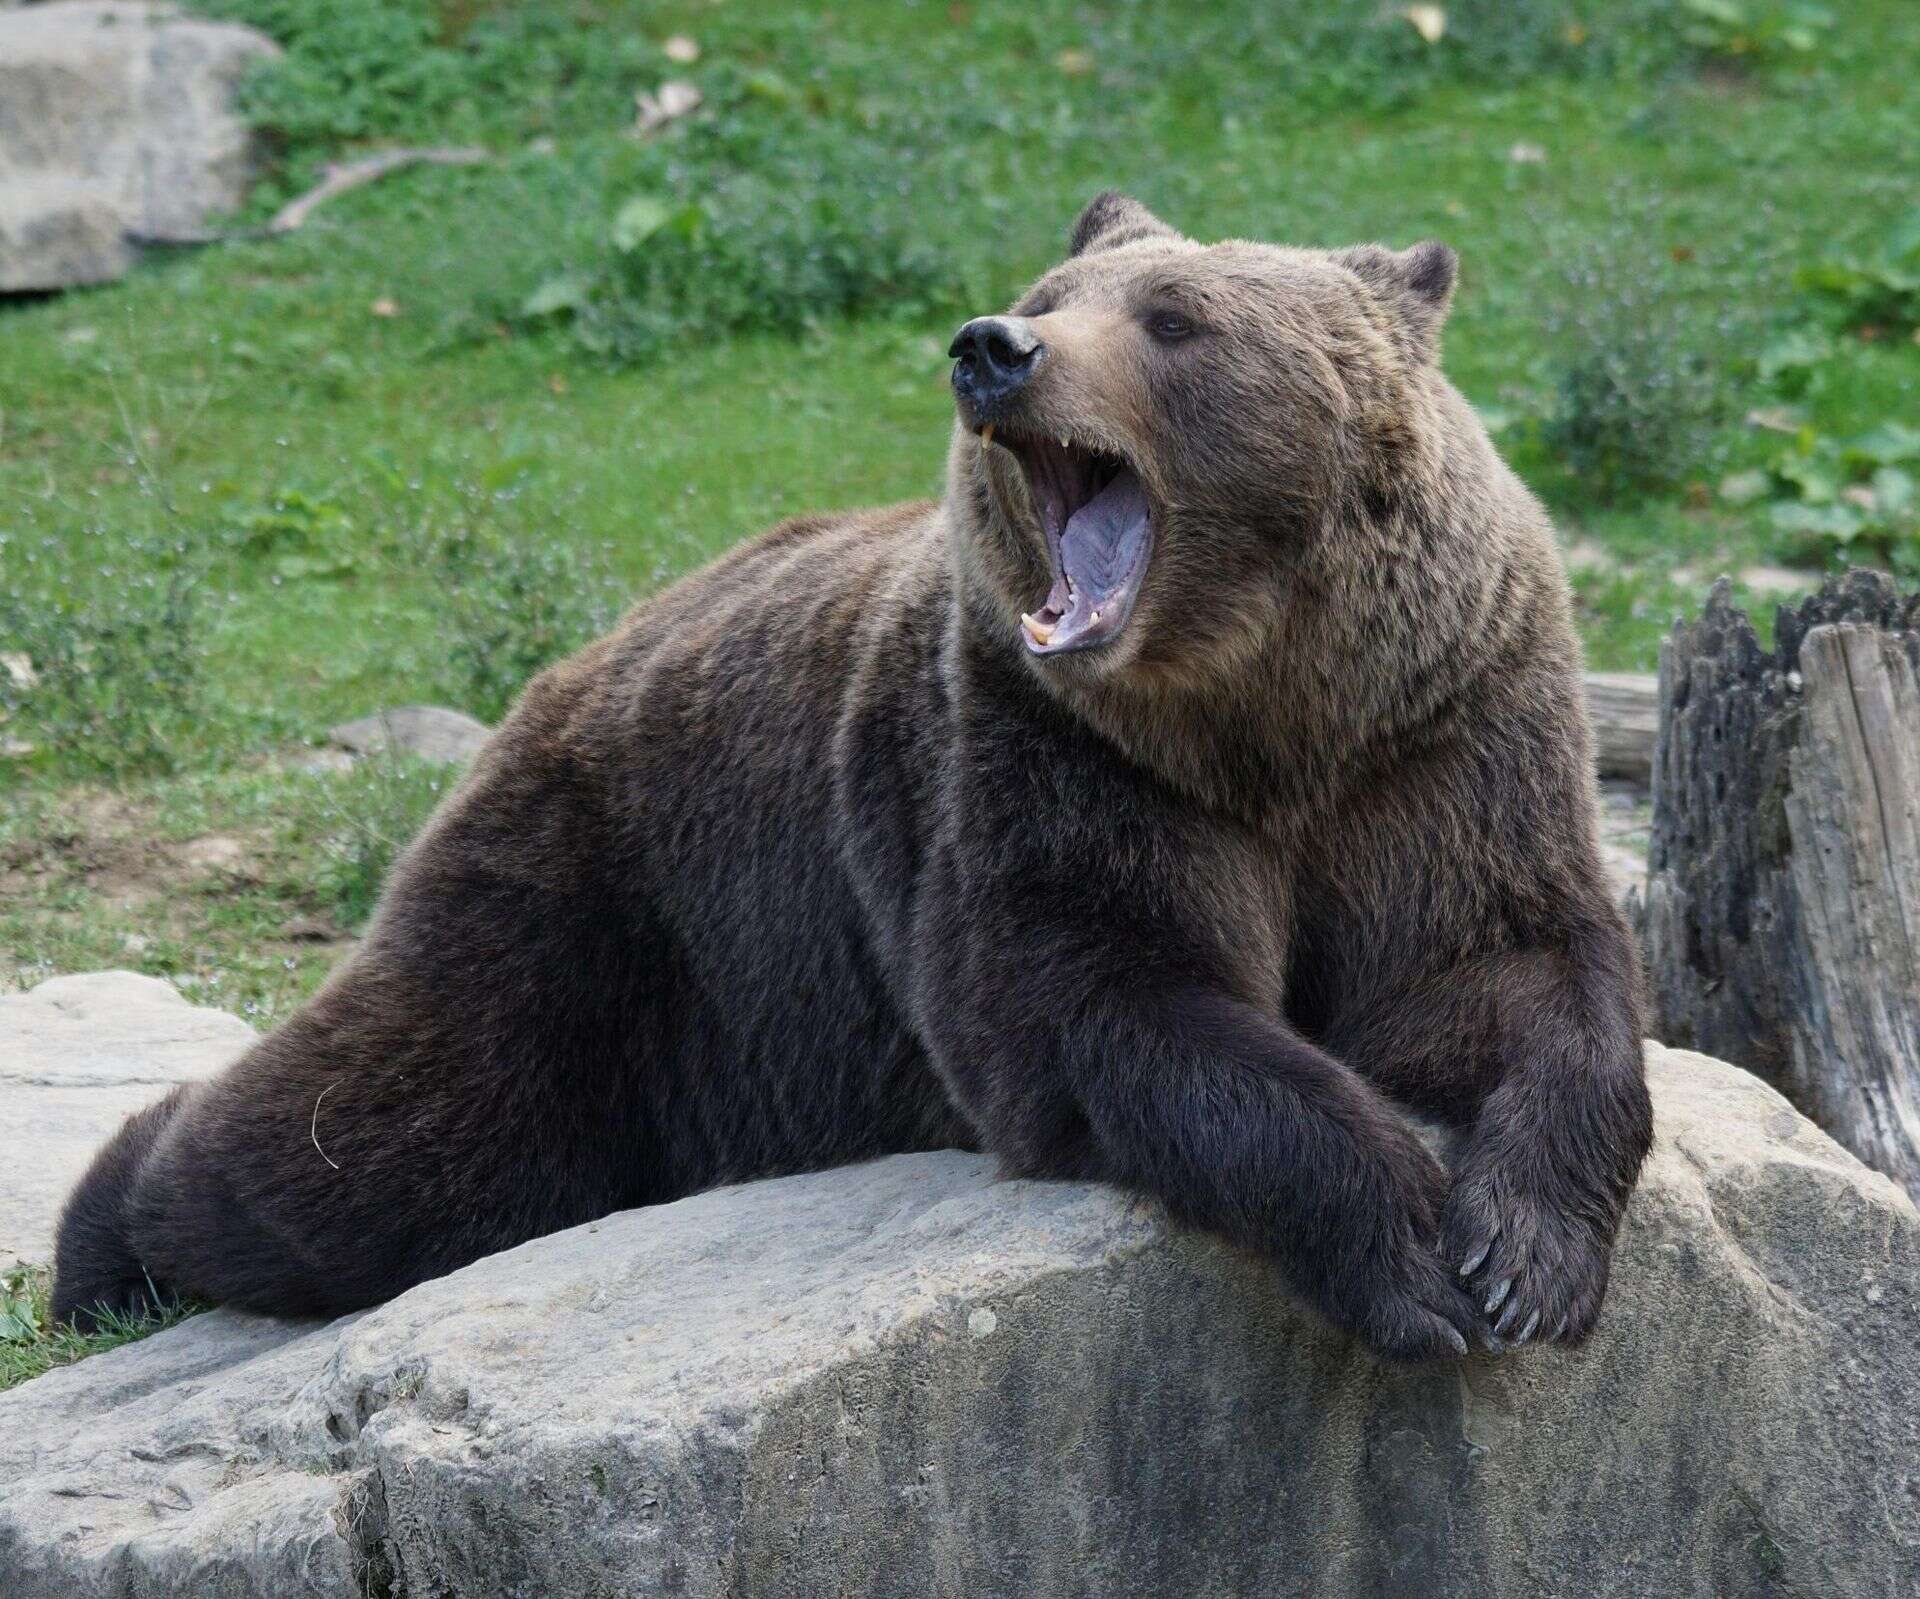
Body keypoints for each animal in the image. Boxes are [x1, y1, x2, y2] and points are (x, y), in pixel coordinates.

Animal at [52, 193, 1658, 1351]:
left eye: (1176, 316)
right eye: (1054, 296)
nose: (991, 345)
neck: (1258, 710)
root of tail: (567, 668)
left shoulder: (1439, 732)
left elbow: (1508, 966)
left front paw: (1523, 1259)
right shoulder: (1043, 760)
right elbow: (1112, 1000)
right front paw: (1409, 1255)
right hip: (614, 918)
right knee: (387, 1145)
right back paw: (104, 1240)